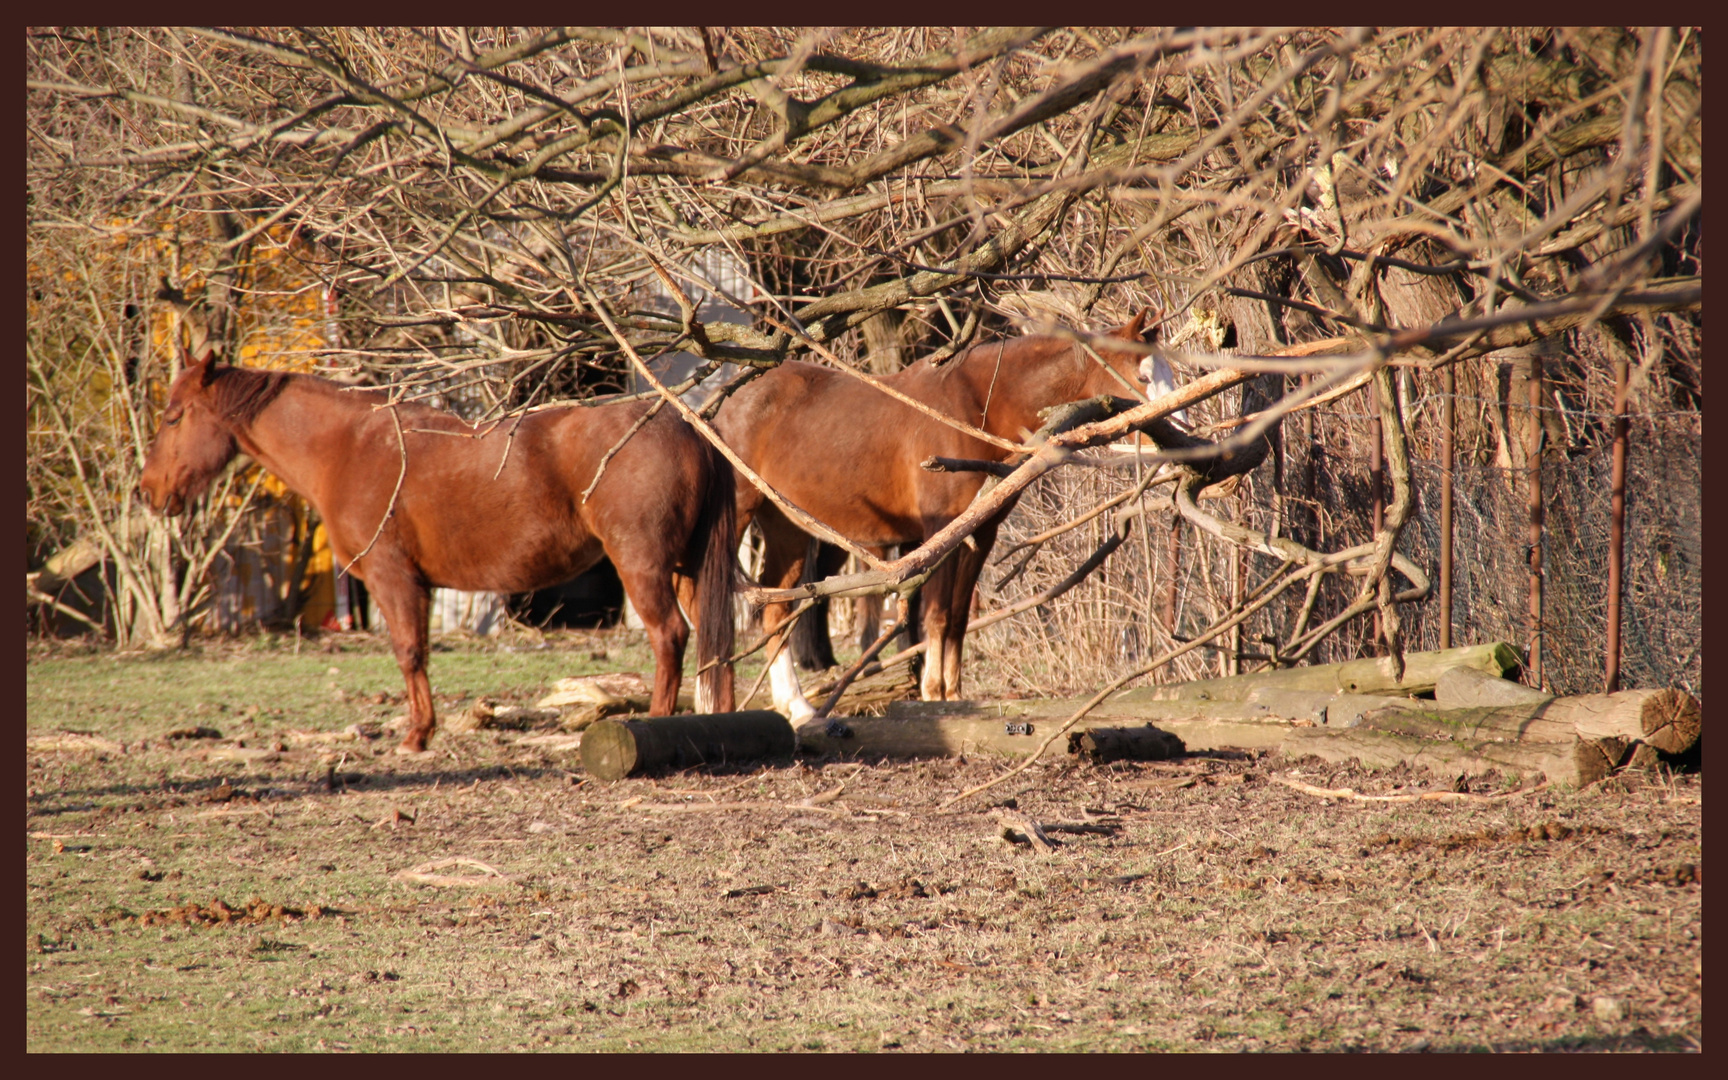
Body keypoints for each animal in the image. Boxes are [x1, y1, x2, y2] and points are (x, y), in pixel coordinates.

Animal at [141, 347, 736, 749]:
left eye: (173, 416)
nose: (149, 491)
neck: (348, 447)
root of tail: (682, 423)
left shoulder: (392, 578)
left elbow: (409, 652)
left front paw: (416, 736)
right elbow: (419, 652)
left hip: (644, 566)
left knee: (669, 636)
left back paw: (656, 722)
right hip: (685, 569)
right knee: (714, 642)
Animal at [711, 311, 1175, 715]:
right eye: (1142, 376)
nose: (1177, 434)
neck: (977, 408)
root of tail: (727, 404)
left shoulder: (980, 534)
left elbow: (956, 618)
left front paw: (952, 693)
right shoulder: (939, 532)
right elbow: (934, 616)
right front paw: (933, 693)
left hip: (786, 527)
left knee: (775, 610)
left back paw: (797, 708)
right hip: (741, 517)